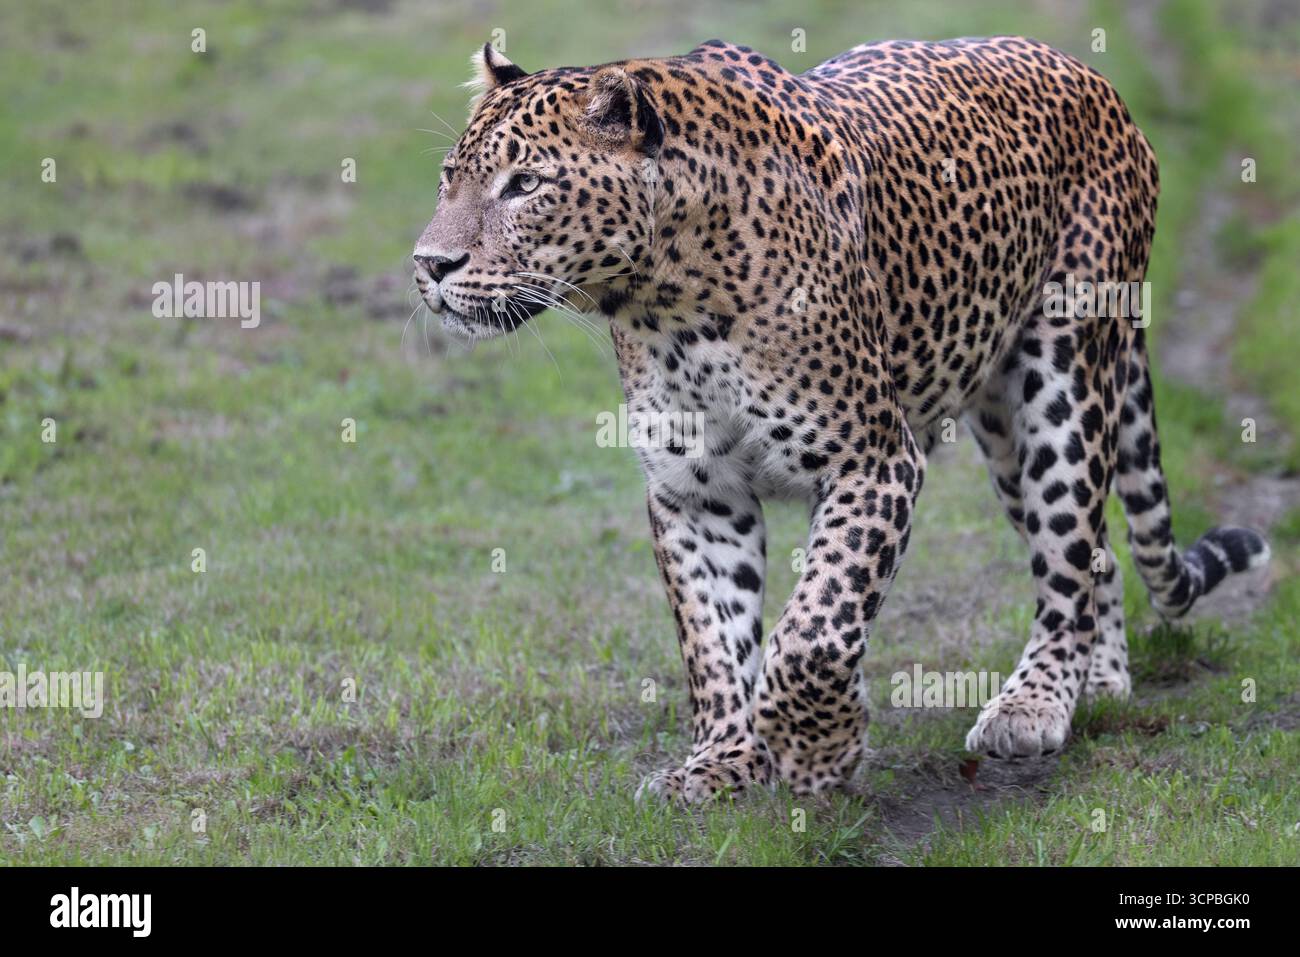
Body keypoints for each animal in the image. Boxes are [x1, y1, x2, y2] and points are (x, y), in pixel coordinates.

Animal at [412, 36, 1271, 802]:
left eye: (525, 184)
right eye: (449, 180)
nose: (429, 265)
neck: (663, 299)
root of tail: (1090, 76)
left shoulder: (874, 461)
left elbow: (814, 625)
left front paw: (818, 748)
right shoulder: (695, 491)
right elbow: (711, 639)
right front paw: (722, 760)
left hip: (1064, 375)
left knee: (1067, 546)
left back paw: (1036, 702)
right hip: (1002, 422)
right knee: (1095, 548)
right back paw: (1101, 675)